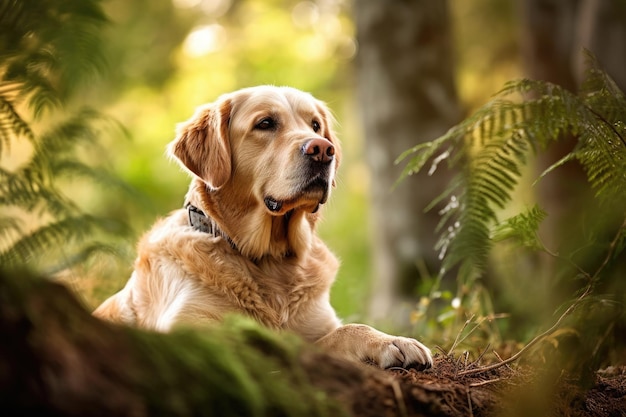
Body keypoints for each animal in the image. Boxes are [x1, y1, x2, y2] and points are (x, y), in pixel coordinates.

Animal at [94, 86, 434, 368]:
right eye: (266, 123)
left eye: (315, 125)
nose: (323, 149)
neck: (270, 260)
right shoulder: (186, 329)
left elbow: (347, 328)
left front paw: (393, 341)